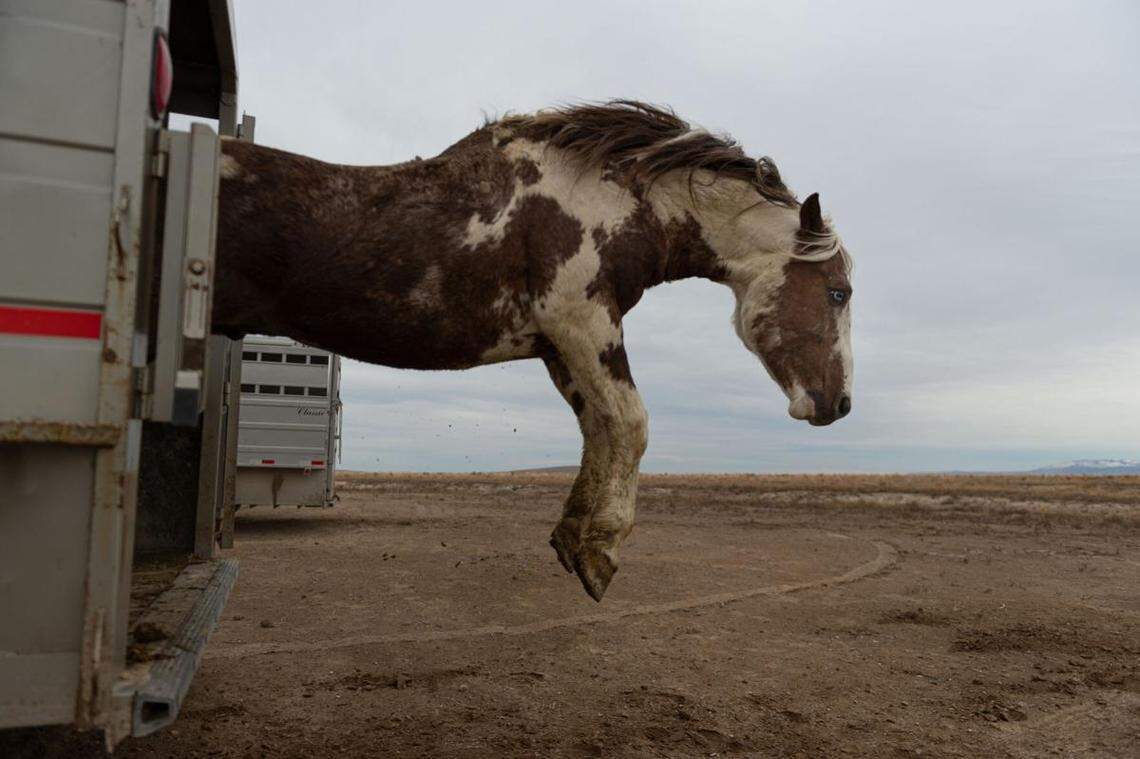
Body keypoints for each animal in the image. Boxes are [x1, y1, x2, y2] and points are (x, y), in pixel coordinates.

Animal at [212, 100, 853, 601]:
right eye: (838, 291)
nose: (840, 404)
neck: (599, 201)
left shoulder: (558, 347)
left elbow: (598, 428)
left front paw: (573, 538)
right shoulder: (583, 321)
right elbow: (631, 422)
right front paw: (603, 551)